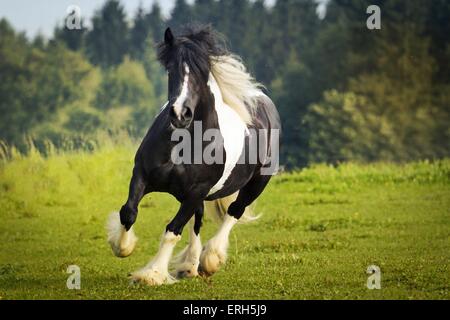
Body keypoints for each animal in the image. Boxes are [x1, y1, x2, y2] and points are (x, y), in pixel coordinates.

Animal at [107, 25, 280, 284]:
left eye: (202, 72)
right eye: (170, 69)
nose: (181, 114)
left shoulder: (196, 190)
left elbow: (172, 230)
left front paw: (151, 274)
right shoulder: (142, 174)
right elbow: (128, 212)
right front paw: (123, 247)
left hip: (256, 183)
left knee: (234, 212)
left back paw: (210, 259)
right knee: (197, 220)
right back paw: (190, 265)